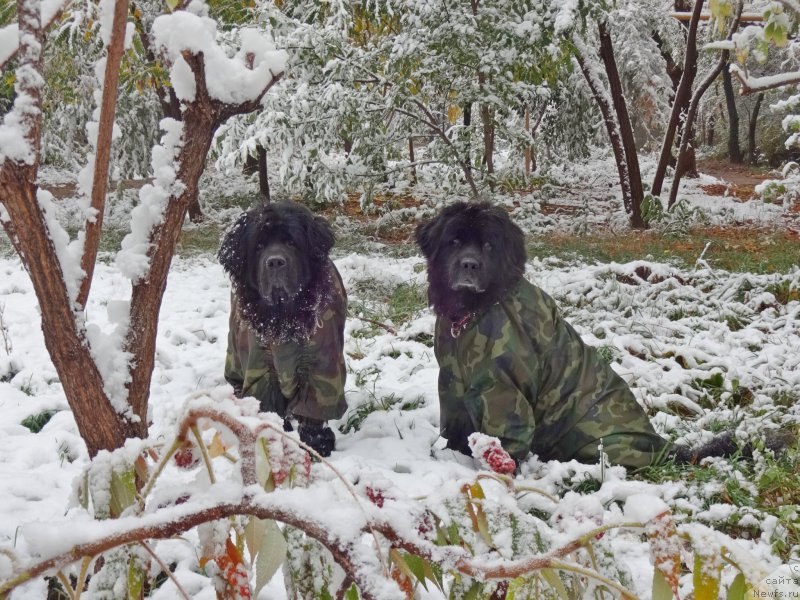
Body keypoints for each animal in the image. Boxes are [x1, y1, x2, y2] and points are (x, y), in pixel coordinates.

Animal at [219, 202, 346, 454]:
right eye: (258, 246)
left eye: (291, 243)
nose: (275, 262)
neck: (283, 317)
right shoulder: (261, 369)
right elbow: (268, 405)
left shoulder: (321, 366)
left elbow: (314, 408)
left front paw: (317, 443)